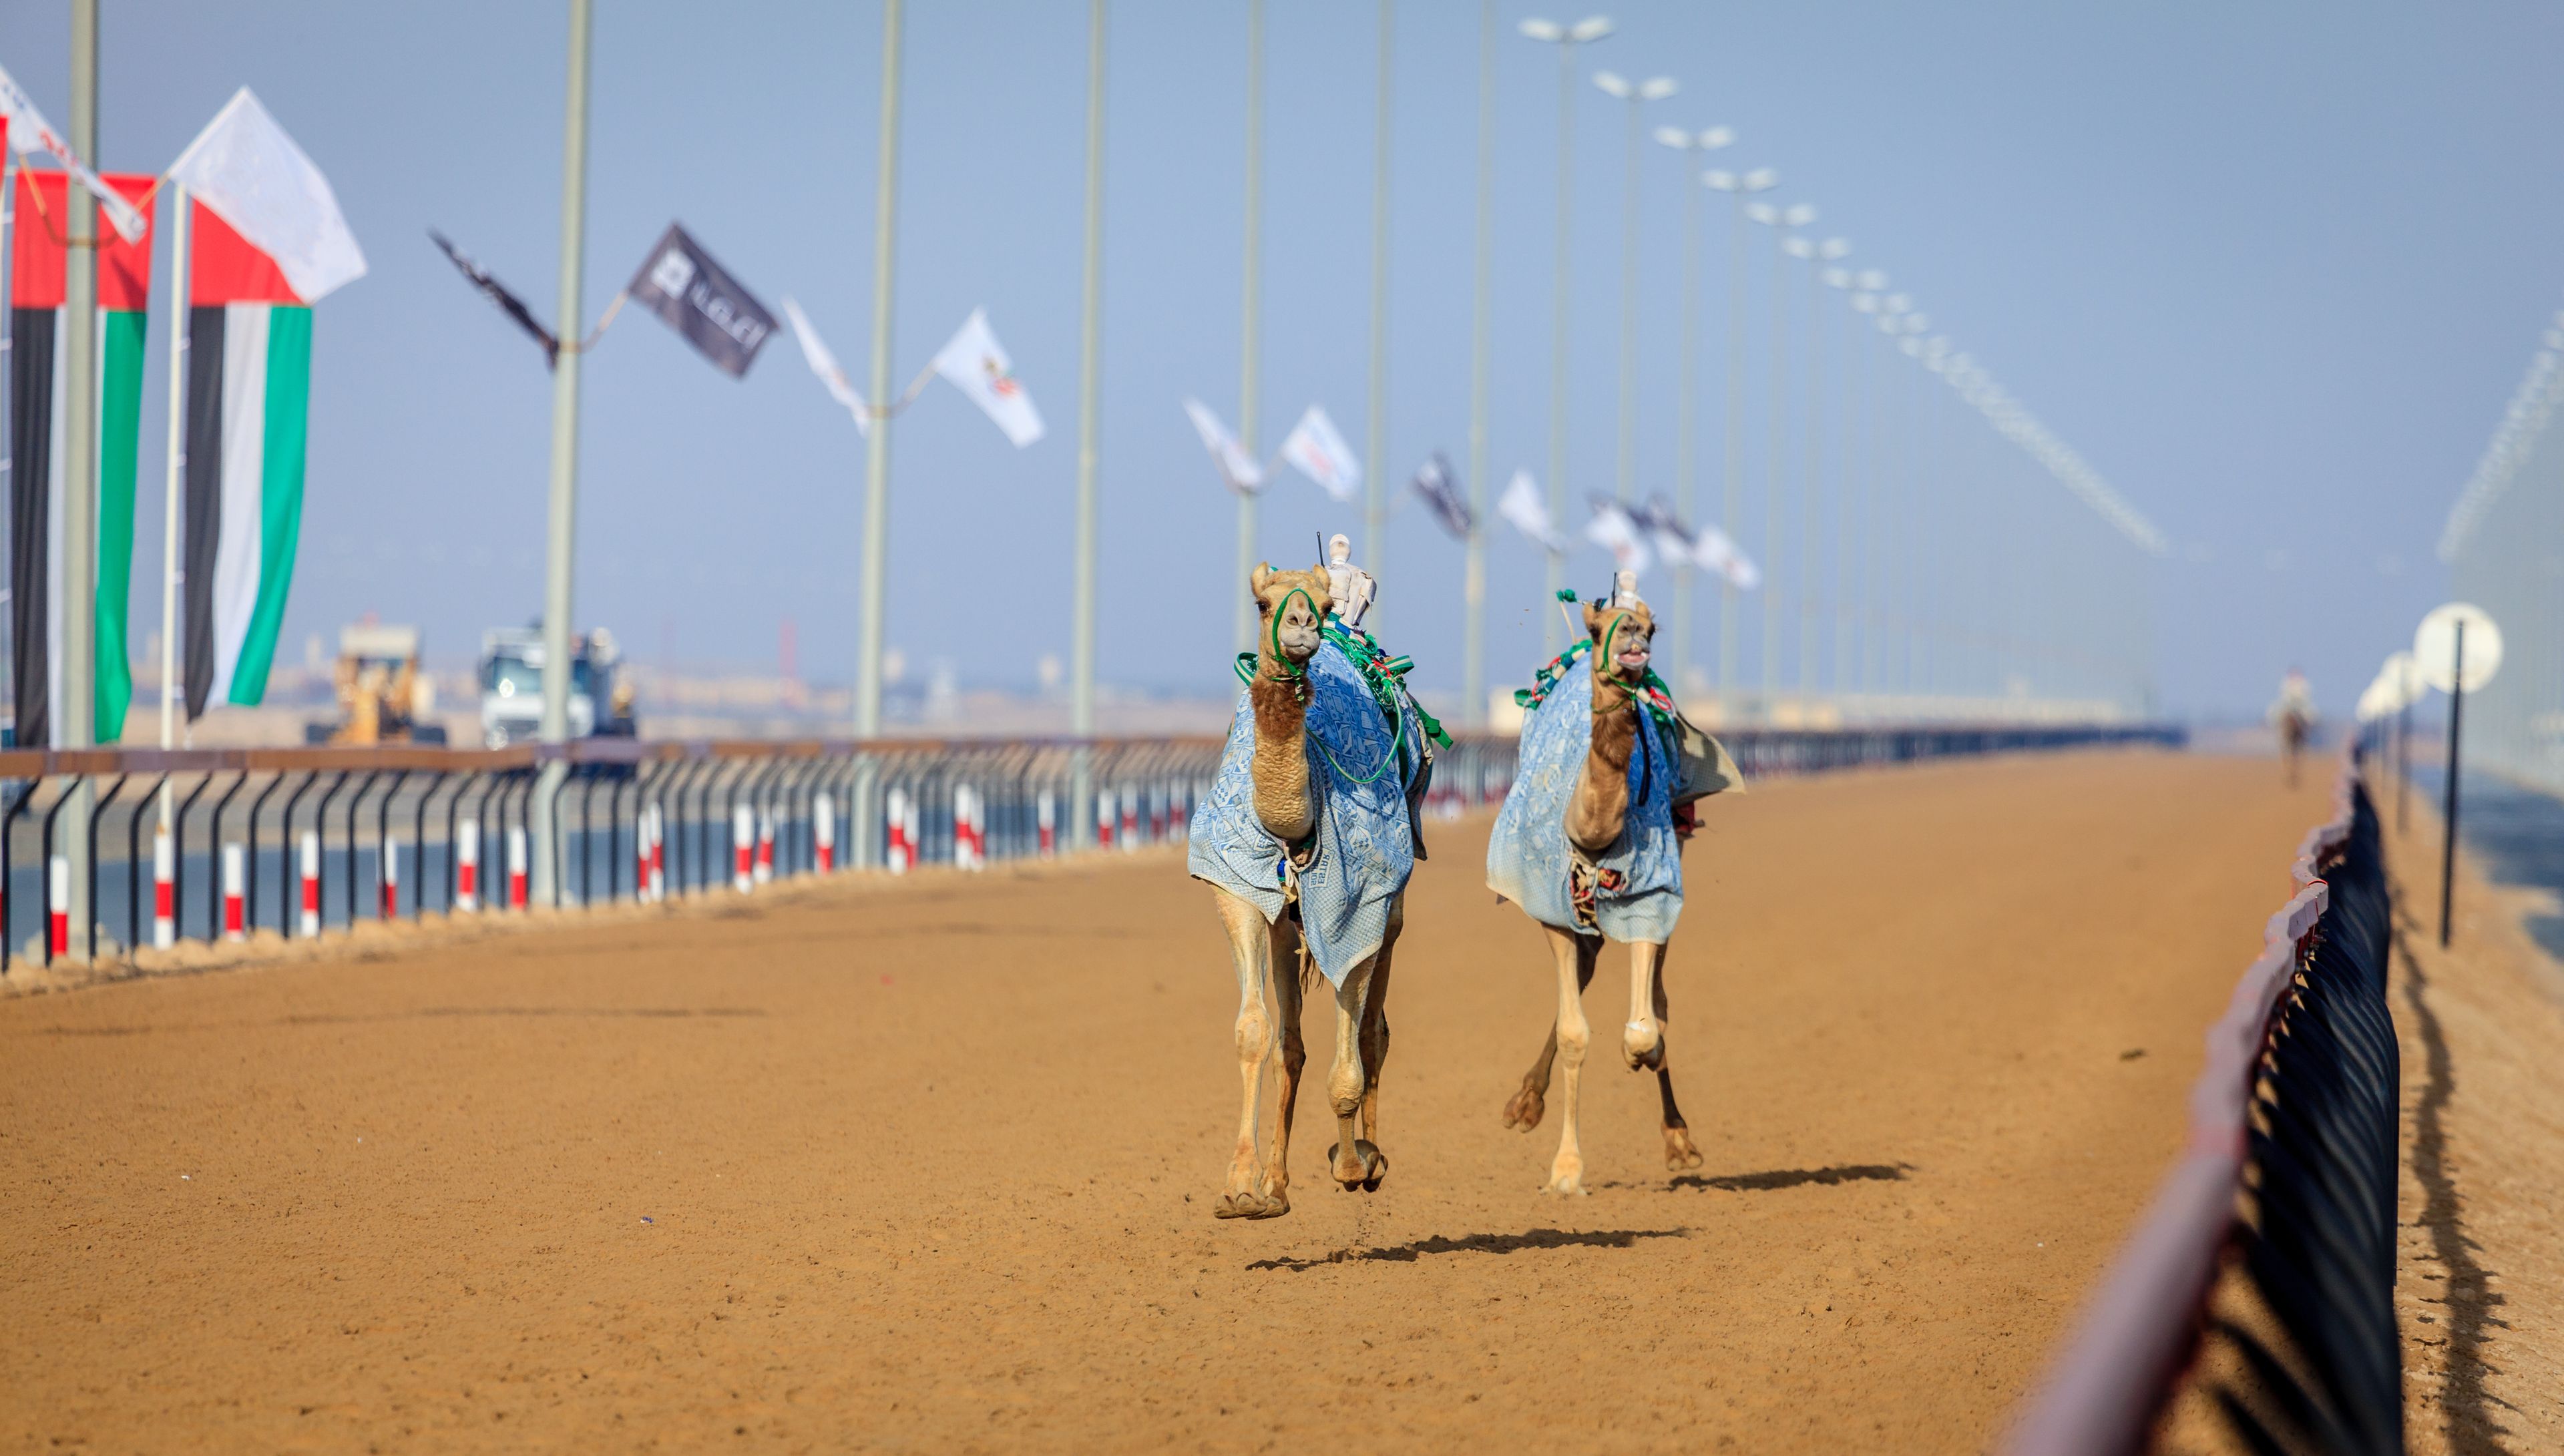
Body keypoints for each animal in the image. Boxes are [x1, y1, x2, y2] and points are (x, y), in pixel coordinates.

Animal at [1191, 561, 1415, 1220]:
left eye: (1321, 602)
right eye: (1262, 603)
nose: (1302, 626)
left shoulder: (1360, 906)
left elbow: (1351, 1053)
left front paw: (1351, 1165)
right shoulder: (1238, 887)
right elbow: (1253, 1033)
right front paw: (1243, 1186)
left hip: (1391, 915)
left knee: (1373, 1031)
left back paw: (1369, 1156)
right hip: (1287, 926)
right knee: (1292, 1041)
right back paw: (1278, 1183)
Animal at [1486, 591, 1706, 1195]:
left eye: (1653, 626)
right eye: (1600, 624)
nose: (1633, 632)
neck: (1590, 835)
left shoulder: (1652, 899)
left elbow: (1644, 1026)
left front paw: (1643, 1061)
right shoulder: (1553, 912)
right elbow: (1574, 1034)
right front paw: (1566, 1170)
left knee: (1656, 1001)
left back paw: (1679, 1138)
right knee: (1582, 979)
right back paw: (1523, 1104)